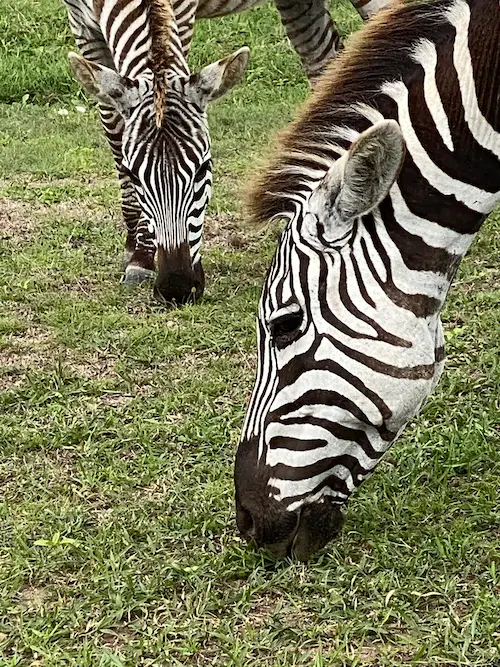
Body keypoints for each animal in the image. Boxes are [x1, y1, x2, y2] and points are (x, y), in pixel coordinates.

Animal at [64, 0, 386, 304]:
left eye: (202, 169)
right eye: (134, 176)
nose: (177, 289)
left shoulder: (180, 16)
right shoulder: (83, 28)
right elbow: (115, 135)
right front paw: (138, 250)